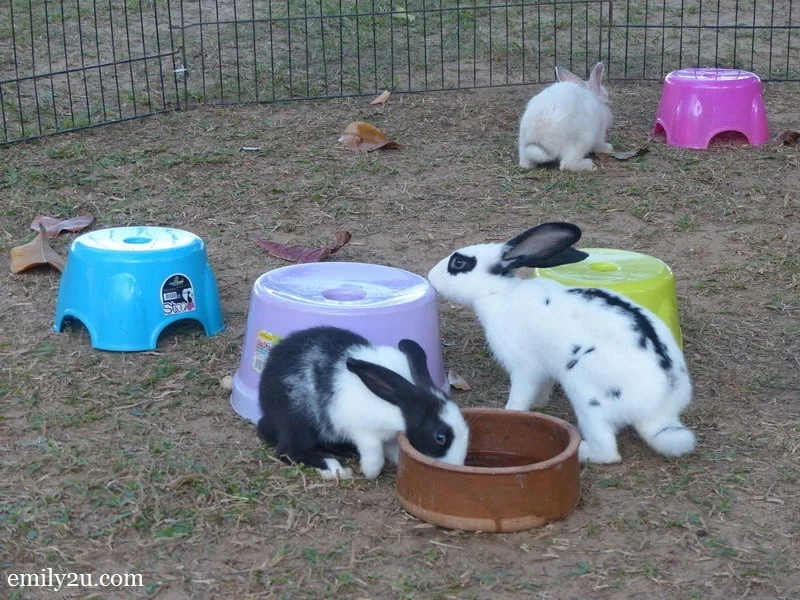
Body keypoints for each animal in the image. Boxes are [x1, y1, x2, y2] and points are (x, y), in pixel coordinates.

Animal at [256, 325, 470, 480]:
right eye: (440, 437)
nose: (455, 465)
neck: (398, 403)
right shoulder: (365, 433)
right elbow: (375, 458)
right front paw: (369, 473)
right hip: (298, 419)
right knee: (289, 451)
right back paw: (334, 468)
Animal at [427, 222, 695, 464]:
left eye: (459, 264)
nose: (431, 276)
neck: (499, 292)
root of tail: (660, 410)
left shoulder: (525, 368)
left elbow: (520, 396)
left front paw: (510, 413)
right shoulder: (544, 370)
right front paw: (539, 405)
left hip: (587, 396)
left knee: (609, 453)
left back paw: (583, 451)